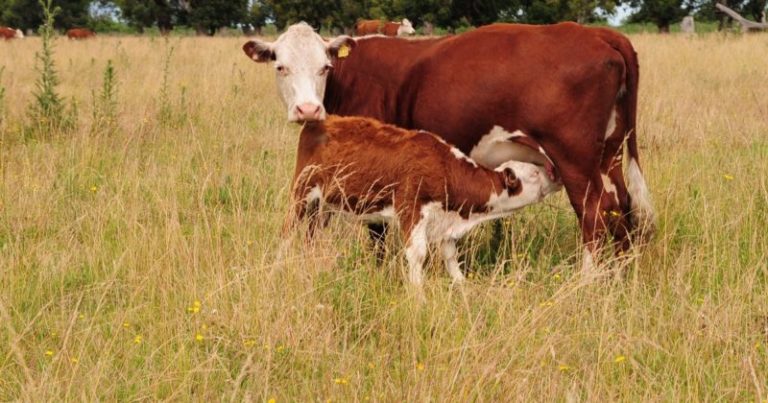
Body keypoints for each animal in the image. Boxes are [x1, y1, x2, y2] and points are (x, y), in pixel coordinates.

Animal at [288, 115, 560, 292]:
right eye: (533, 173)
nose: (554, 174)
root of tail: (323, 120)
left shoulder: (446, 221)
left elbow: (450, 255)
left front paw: (461, 285)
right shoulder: (411, 208)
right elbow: (417, 255)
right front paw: (418, 294)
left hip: (323, 207)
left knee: (310, 236)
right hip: (301, 193)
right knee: (288, 230)